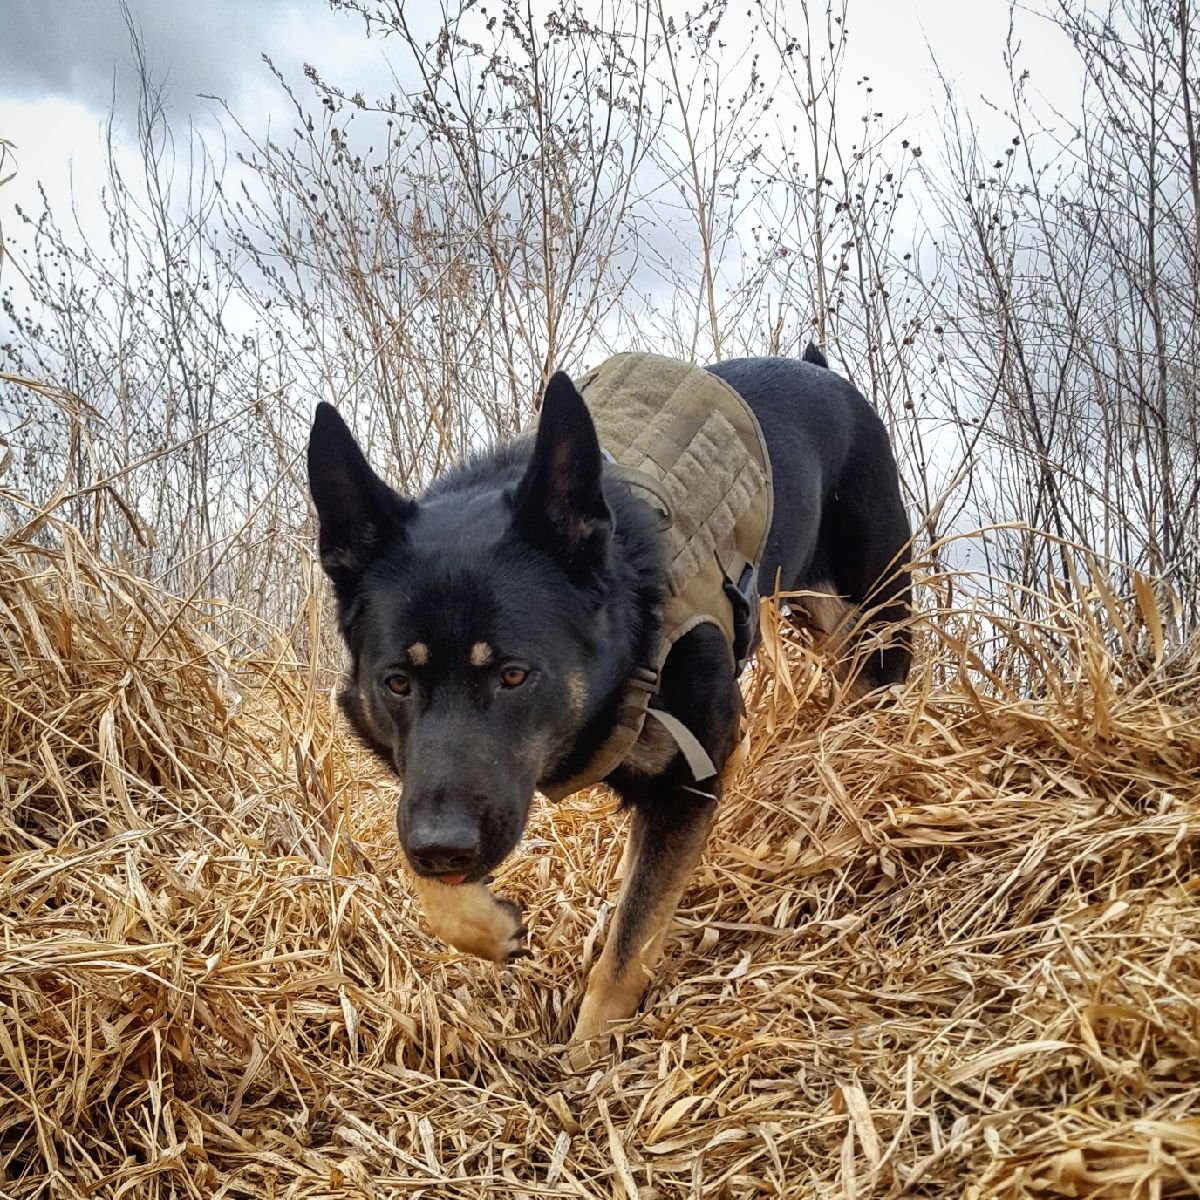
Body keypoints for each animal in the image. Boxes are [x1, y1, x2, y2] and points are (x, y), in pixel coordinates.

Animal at [307, 348, 907, 1051]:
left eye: (514, 675)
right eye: (397, 682)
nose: (442, 847)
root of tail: (817, 368)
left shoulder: (695, 769)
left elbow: (632, 939)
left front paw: (591, 1055)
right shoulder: (418, 781)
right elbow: (435, 879)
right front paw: (487, 926)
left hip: (876, 619)